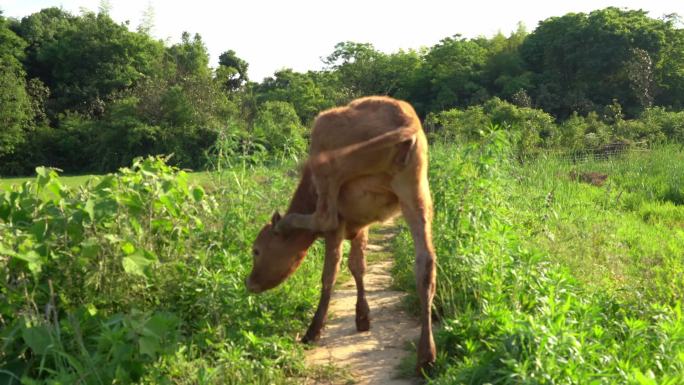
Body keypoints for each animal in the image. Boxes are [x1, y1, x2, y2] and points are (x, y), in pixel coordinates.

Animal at [247, 95, 438, 372]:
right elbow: (358, 266)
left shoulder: (338, 225)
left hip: (329, 162)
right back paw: (426, 354)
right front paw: (362, 316)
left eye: (256, 250)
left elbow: (331, 272)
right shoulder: (360, 227)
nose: (249, 282)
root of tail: (405, 117)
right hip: (415, 192)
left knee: (324, 215)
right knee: (425, 262)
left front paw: (316, 329)